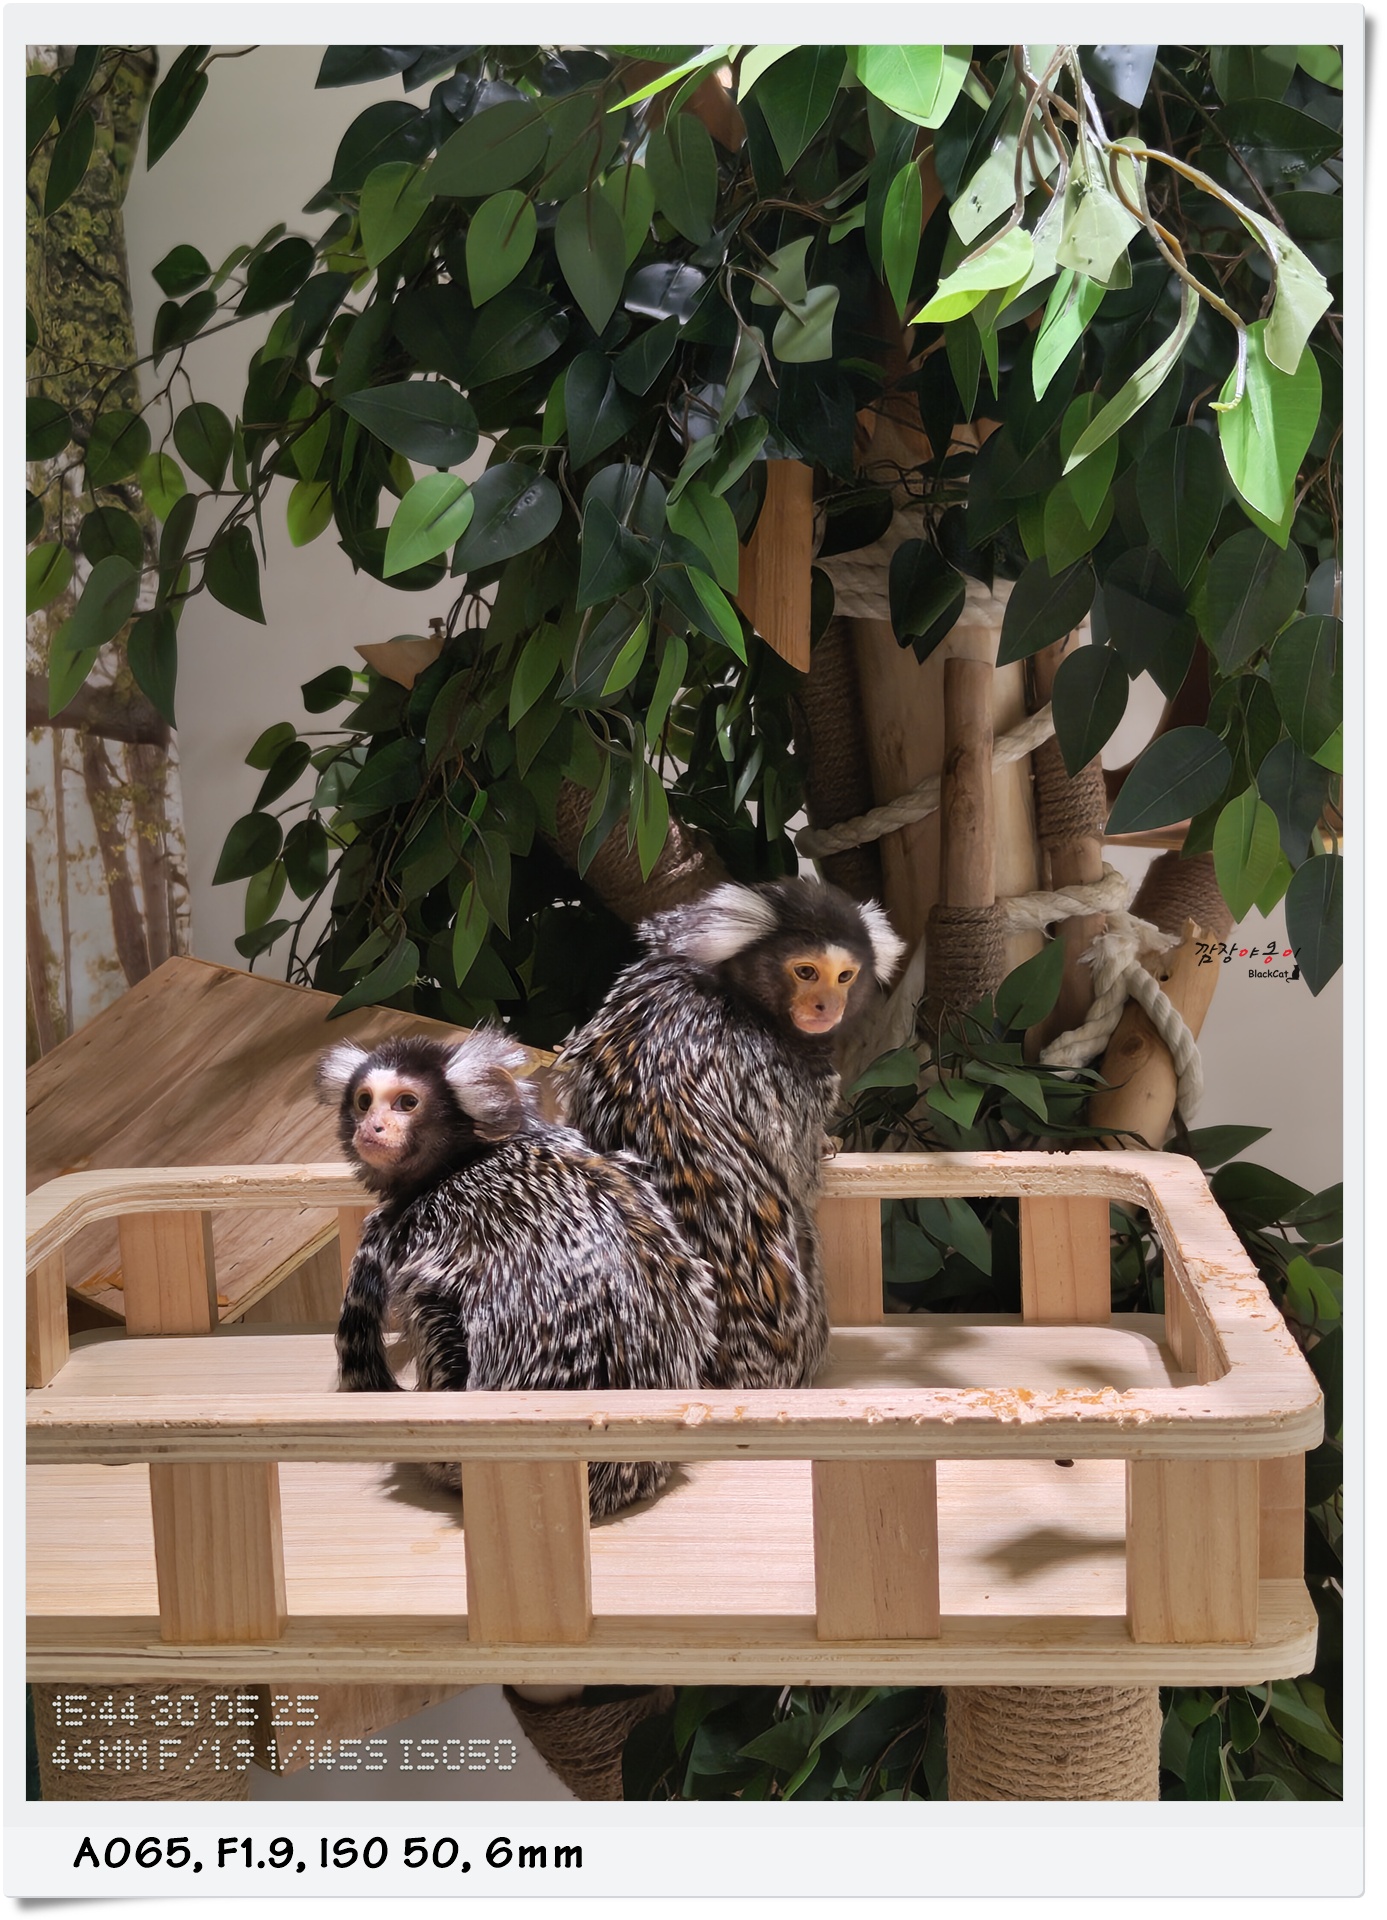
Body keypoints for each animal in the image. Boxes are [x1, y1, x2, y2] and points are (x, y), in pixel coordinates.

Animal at [560, 877, 906, 1391]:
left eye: (845, 976)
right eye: (806, 972)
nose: (827, 1006)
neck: (730, 993)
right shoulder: (769, 1071)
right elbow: (799, 1174)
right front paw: (825, 1147)